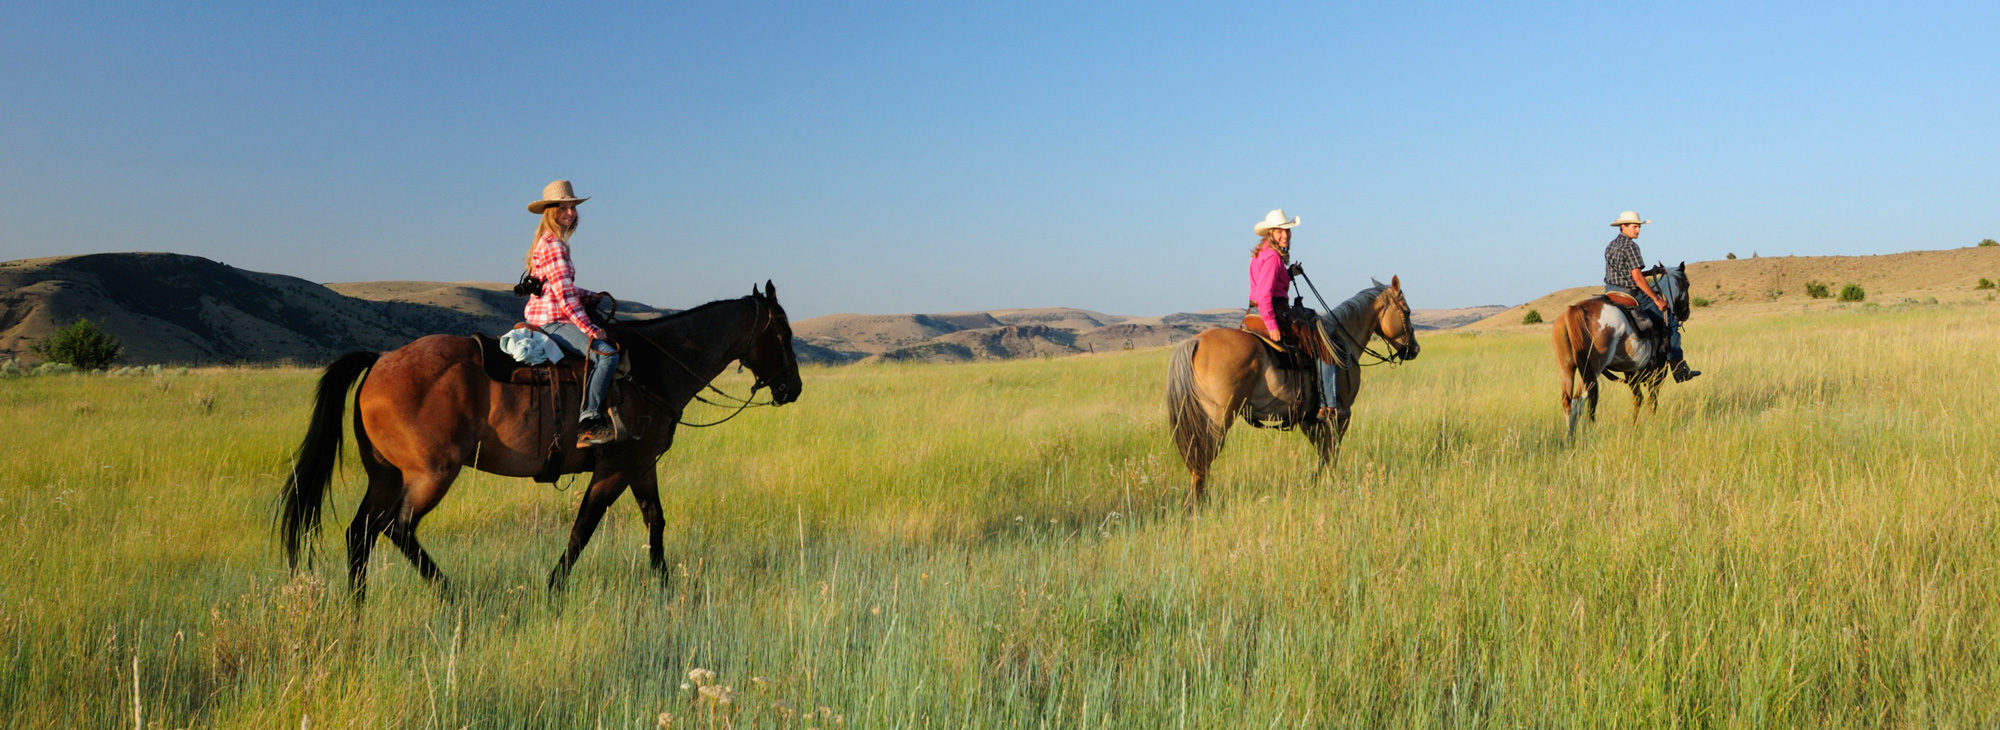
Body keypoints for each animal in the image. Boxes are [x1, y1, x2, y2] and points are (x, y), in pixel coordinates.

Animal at [1160, 274, 1424, 506]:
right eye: (1407, 311)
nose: (1414, 349)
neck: (1342, 342)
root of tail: (1196, 340)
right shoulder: (1342, 414)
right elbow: (1333, 451)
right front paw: (1334, 483)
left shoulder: (1309, 418)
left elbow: (1322, 452)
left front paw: (1318, 483)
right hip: (1217, 418)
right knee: (1202, 460)